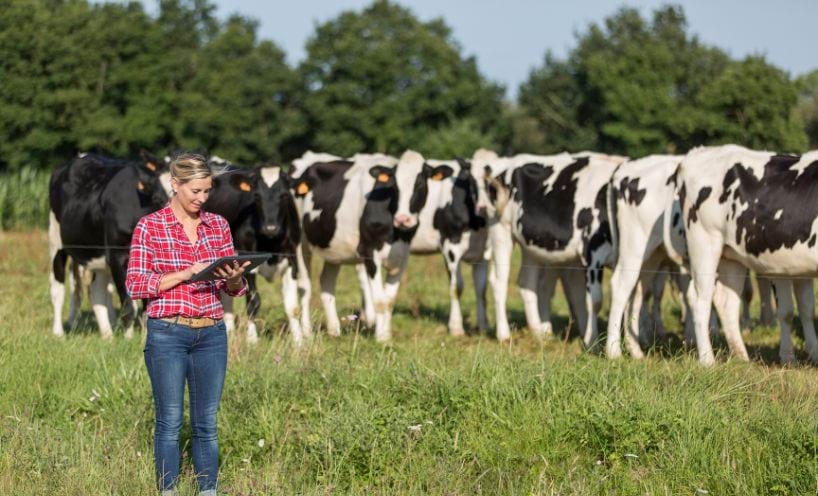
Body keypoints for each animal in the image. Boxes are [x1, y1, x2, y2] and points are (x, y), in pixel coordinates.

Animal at [202, 166, 310, 344]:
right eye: (257, 196)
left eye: (285, 195)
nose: (270, 228)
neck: (271, 241)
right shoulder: (247, 262)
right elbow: (253, 303)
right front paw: (252, 340)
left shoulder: (292, 261)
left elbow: (292, 307)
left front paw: (299, 342)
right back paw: (229, 331)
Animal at [474, 150, 620, 344]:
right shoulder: (592, 254)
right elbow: (594, 301)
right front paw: (593, 342)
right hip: (500, 230)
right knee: (499, 282)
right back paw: (504, 335)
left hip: (532, 244)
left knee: (527, 282)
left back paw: (538, 332)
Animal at [664, 143, 816, 364]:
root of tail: (697, 153)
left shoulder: (800, 269)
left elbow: (806, 308)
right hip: (704, 243)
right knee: (699, 298)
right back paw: (708, 360)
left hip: (730, 255)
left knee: (727, 302)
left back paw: (741, 357)